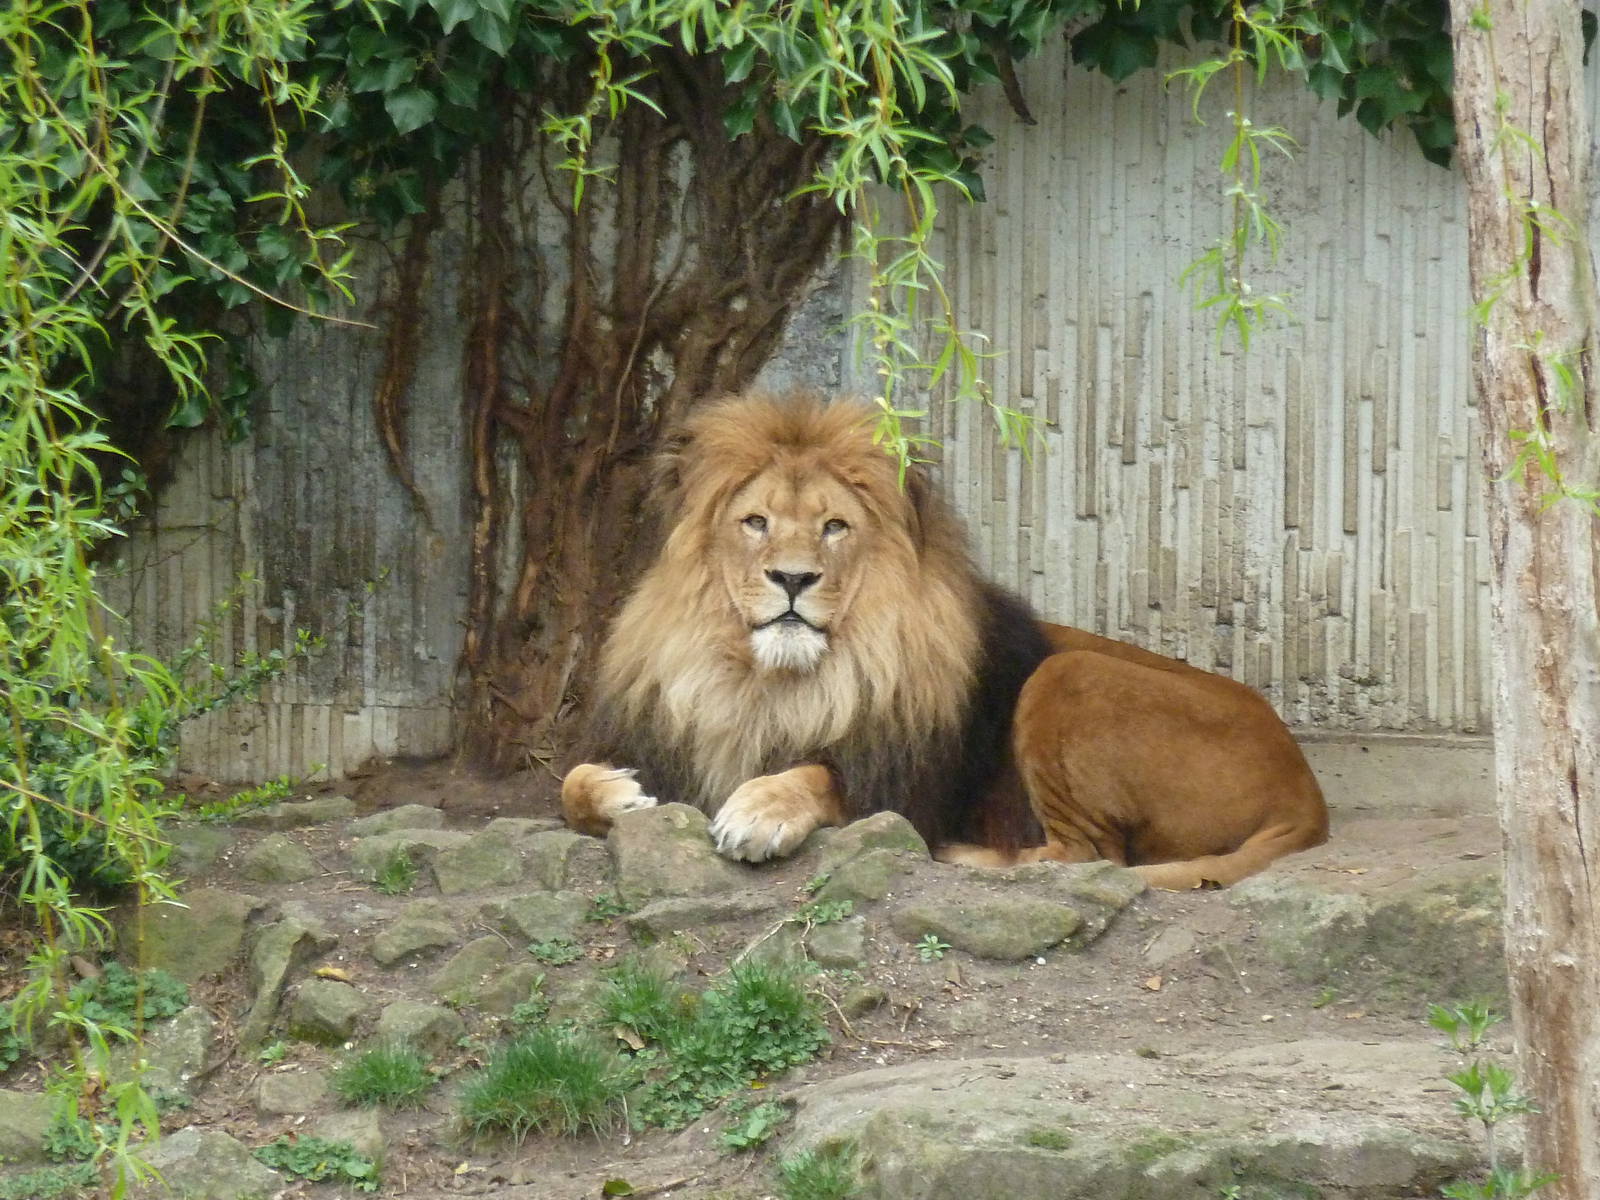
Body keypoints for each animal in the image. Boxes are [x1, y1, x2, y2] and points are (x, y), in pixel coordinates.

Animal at [561, 391, 1328, 889]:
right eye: (755, 522)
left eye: (834, 527)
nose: (793, 578)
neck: (770, 682)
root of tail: (1304, 790)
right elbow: (571, 785)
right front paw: (621, 794)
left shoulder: (902, 787)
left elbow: (818, 775)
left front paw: (758, 810)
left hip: (1070, 674)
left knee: (1089, 856)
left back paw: (966, 859)